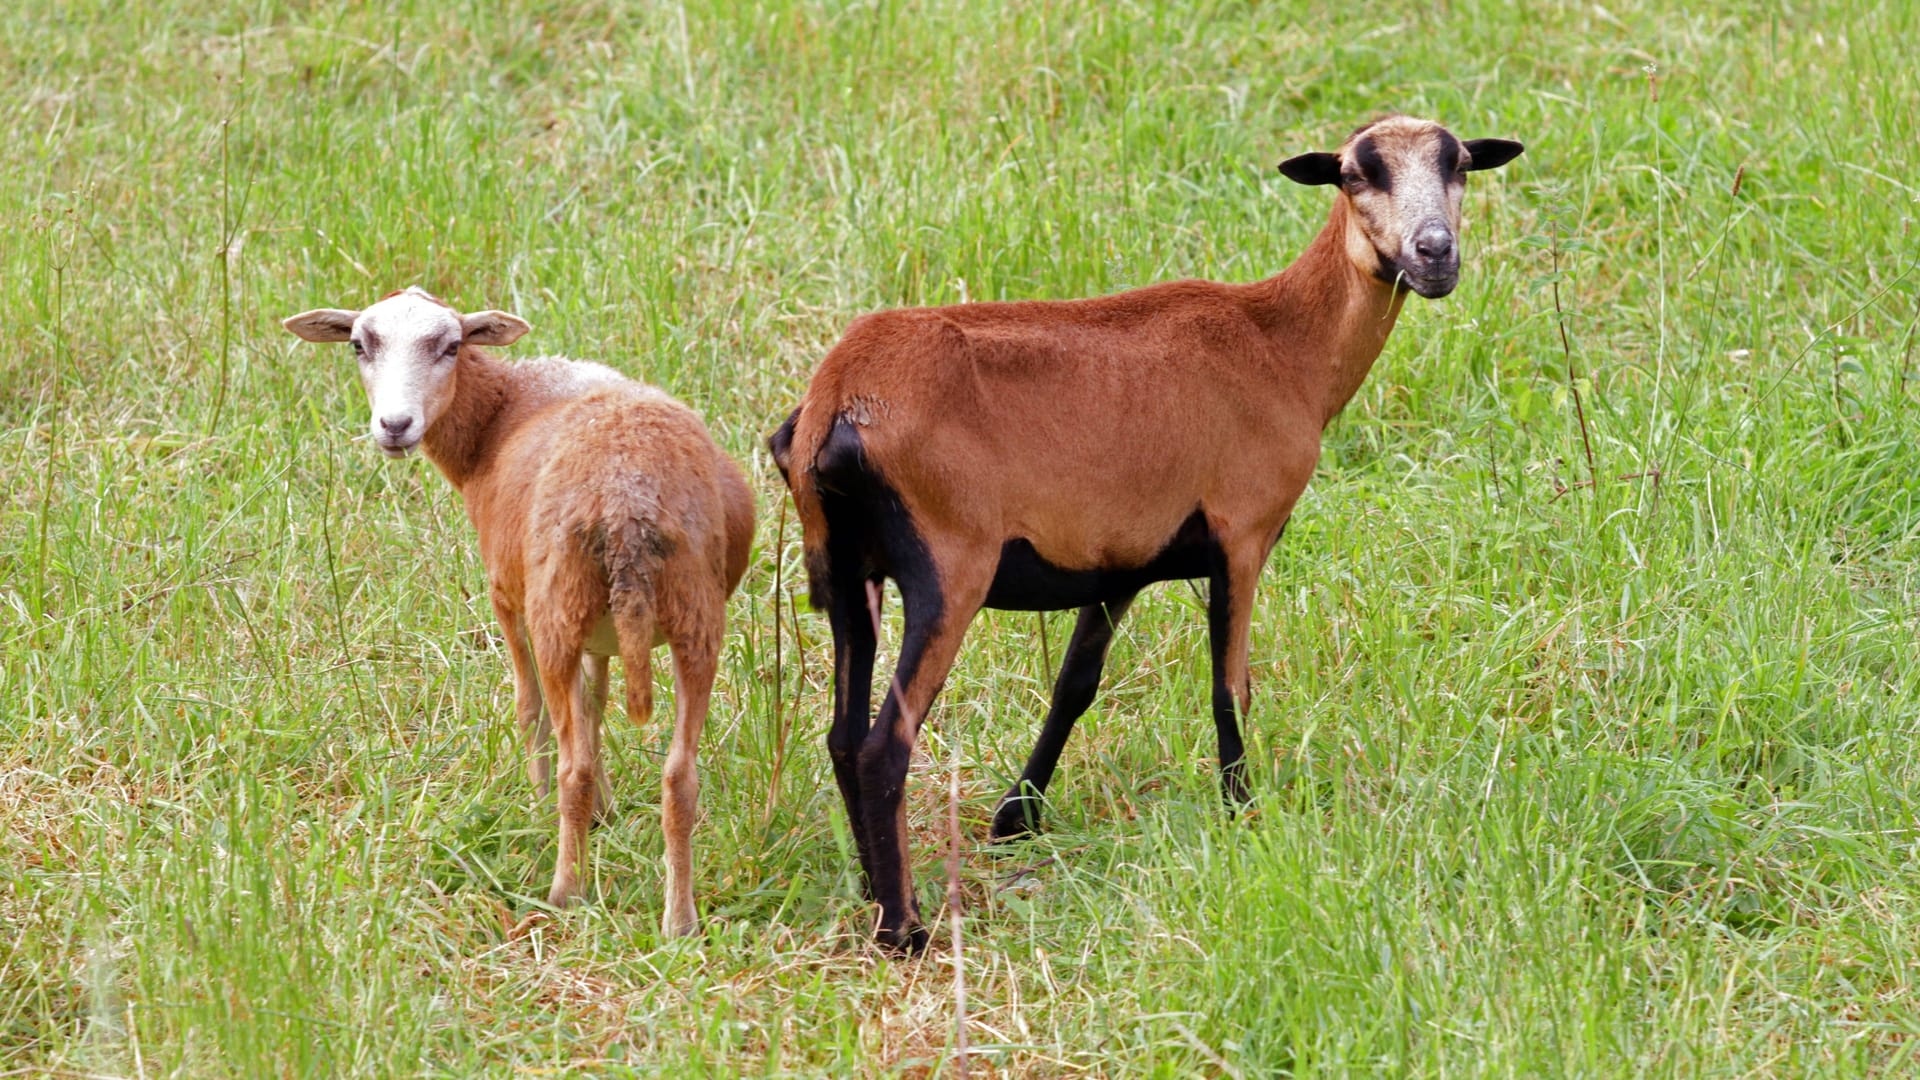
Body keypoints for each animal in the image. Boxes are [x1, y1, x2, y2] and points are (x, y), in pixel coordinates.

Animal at [771, 113, 1520, 945]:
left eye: (1459, 164)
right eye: (1360, 174)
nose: (1435, 253)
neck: (1285, 346)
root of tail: (833, 403)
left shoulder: (1117, 564)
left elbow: (1074, 686)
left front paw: (1017, 819)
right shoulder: (1242, 533)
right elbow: (1231, 689)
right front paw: (1242, 814)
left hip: (846, 572)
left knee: (842, 738)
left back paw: (874, 887)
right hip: (949, 567)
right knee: (882, 746)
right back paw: (904, 929)